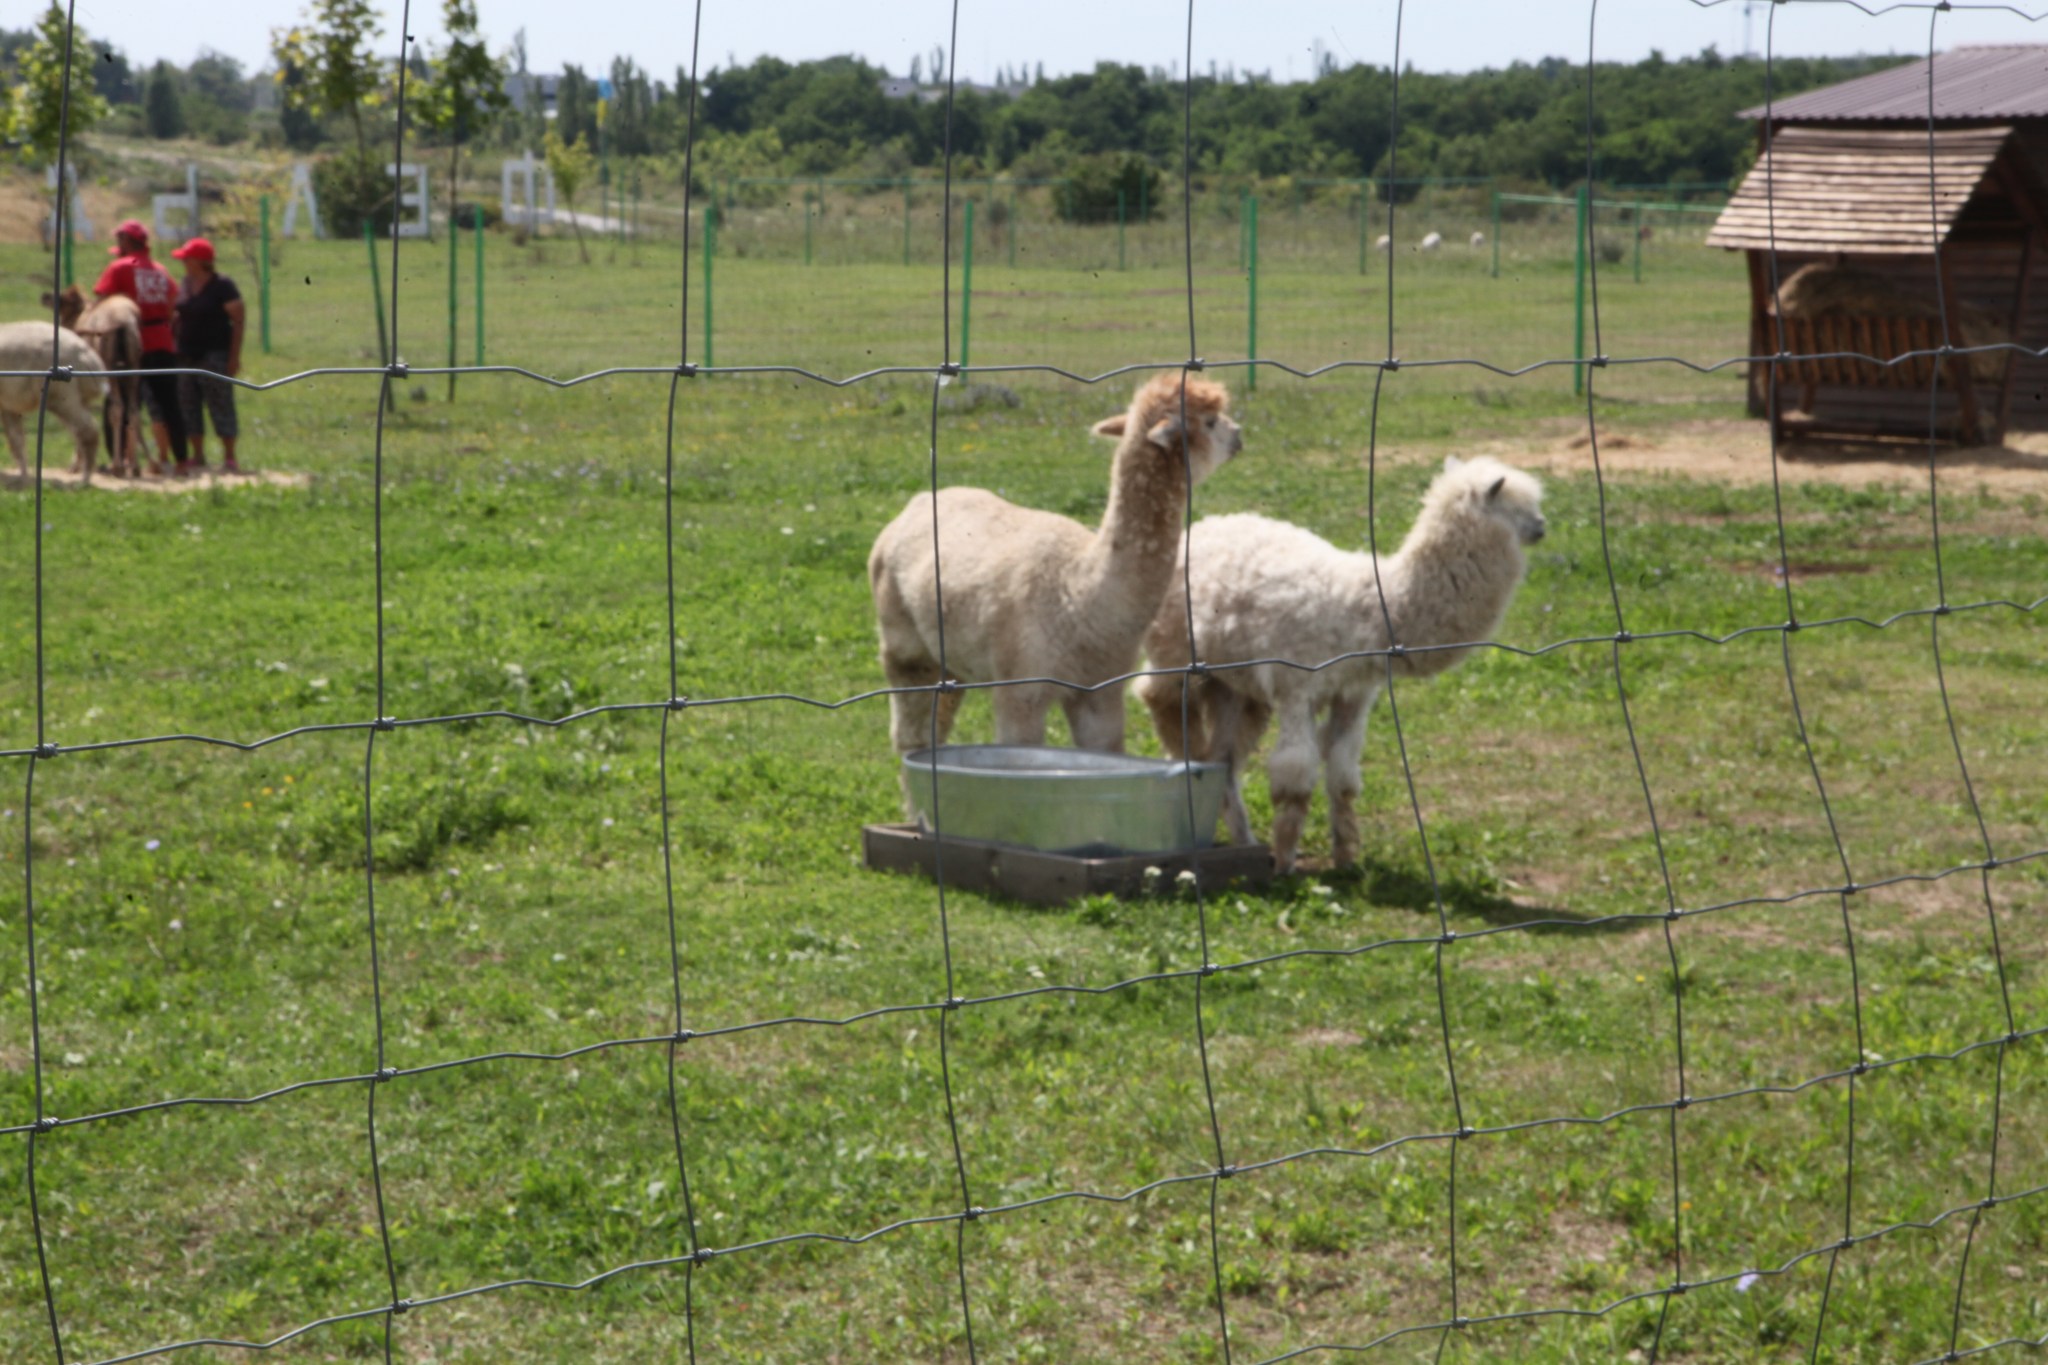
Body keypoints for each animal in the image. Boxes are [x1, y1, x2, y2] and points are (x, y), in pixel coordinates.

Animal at [868, 370, 1245, 810]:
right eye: (1211, 422)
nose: (1239, 435)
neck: (1080, 595)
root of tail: (917, 502)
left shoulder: (1100, 689)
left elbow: (1107, 752)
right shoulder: (1021, 688)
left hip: (950, 655)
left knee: (938, 717)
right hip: (902, 636)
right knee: (908, 731)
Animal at [1138, 454, 1548, 871]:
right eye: (1518, 507)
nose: (1542, 527)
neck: (1368, 607)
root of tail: (1201, 526)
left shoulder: (1354, 692)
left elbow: (1343, 777)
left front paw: (1347, 856)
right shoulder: (1296, 685)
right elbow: (1296, 778)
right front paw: (1285, 860)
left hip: (1235, 687)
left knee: (1223, 761)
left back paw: (1244, 839)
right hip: (1177, 653)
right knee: (1159, 698)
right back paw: (1186, 761)